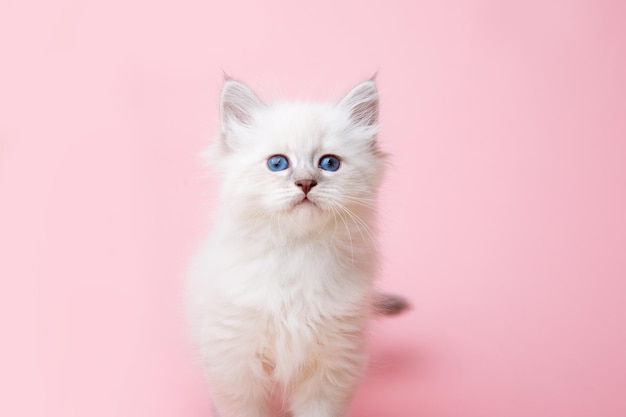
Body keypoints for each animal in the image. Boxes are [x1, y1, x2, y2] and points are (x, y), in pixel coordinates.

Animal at [184, 78, 410, 416]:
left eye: (329, 163)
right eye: (278, 163)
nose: (305, 183)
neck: (297, 253)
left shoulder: (332, 366)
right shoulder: (235, 364)